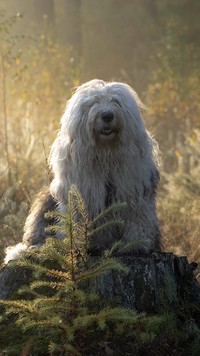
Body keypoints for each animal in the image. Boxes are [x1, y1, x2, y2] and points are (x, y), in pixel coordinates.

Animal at [4, 80, 161, 264]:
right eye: (93, 102)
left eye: (116, 101)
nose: (107, 115)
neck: (106, 153)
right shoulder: (81, 192)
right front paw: (78, 246)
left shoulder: (133, 190)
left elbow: (136, 216)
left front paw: (136, 244)